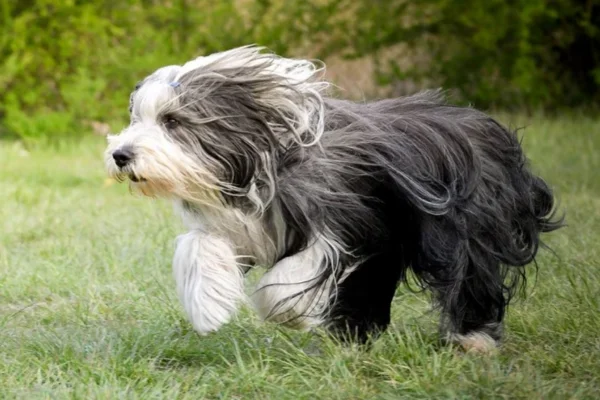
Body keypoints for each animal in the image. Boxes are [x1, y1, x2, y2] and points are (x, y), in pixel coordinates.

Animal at [103, 45, 564, 354]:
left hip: (462, 229)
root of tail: (487, 128)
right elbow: (199, 246)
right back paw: (354, 339)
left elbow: (298, 270)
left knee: (472, 275)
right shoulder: (240, 225)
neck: (262, 158)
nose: (120, 155)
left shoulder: (349, 217)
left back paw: (474, 340)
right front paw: (207, 305)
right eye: (137, 118)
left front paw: (286, 311)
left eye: (173, 121)